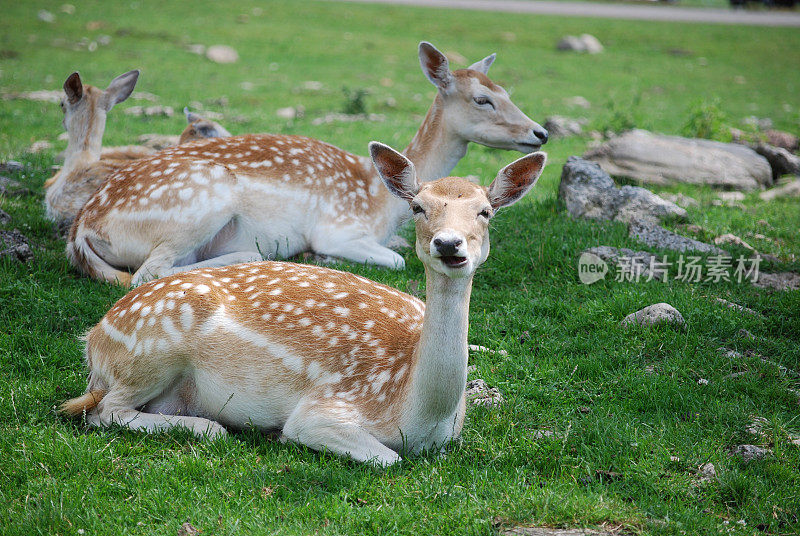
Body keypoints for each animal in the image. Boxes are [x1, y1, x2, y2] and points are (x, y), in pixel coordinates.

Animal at [61, 142, 552, 464]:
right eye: (418, 207)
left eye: (486, 211)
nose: (449, 244)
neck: (415, 412)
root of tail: (93, 340)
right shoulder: (324, 409)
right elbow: (385, 457)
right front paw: (280, 437)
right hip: (150, 350)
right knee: (102, 411)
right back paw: (211, 426)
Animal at [67, 42, 552, 286]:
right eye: (483, 99)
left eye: (506, 90)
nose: (540, 133)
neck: (382, 204)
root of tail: (81, 230)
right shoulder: (339, 227)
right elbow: (395, 261)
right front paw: (321, 254)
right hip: (200, 203)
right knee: (146, 274)